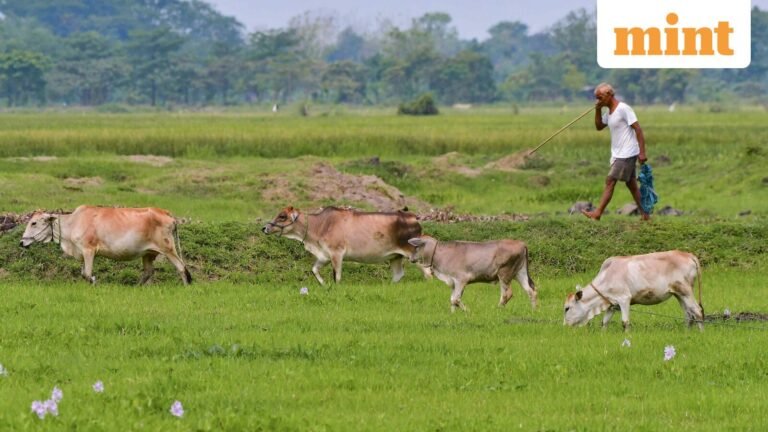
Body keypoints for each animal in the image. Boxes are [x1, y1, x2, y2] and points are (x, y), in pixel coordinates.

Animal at [19, 206, 192, 285]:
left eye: (34, 223)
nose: (22, 242)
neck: (73, 222)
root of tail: (168, 214)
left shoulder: (89, 250)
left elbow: (88, 274)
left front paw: (95, 281)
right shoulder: (82, 254)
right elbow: (83, 274)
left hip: (168, 249)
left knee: (181, 268)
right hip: (148, 253)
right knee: (148, 272)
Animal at [262, 206, 430, 284]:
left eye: (282, 216)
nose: (264, 228)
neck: (320, 225)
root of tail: (413, 216)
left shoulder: (336, 254)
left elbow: (337, 276)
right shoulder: (324, 256)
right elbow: (314, 270)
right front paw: (323, 284)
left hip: (414, 254)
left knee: (428, 273)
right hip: (395, 257)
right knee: (398, 275)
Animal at [407, 235, 537, 312]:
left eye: (416, 247)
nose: (410, 258)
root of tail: (521, 243)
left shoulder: (461, 279)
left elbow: (455, 299)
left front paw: (468, 311)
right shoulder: (453, 283)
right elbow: (453, 299)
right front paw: (452, 314)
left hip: (504, 274)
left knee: (507, 293)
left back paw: (497, 309)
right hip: (520, 273)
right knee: (531, 291)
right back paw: (534, 310)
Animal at [563, 250, 703, 331]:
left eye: (567, 308)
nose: (565, 326)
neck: (607, 276)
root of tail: (688, 255)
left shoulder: (624, 299)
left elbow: (625, 322)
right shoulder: (611, 304)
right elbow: (604, 322)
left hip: (686, 291)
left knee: (697, 311)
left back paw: (701, 332)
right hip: (678, 294)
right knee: (688, 314)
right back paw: (686, 333)